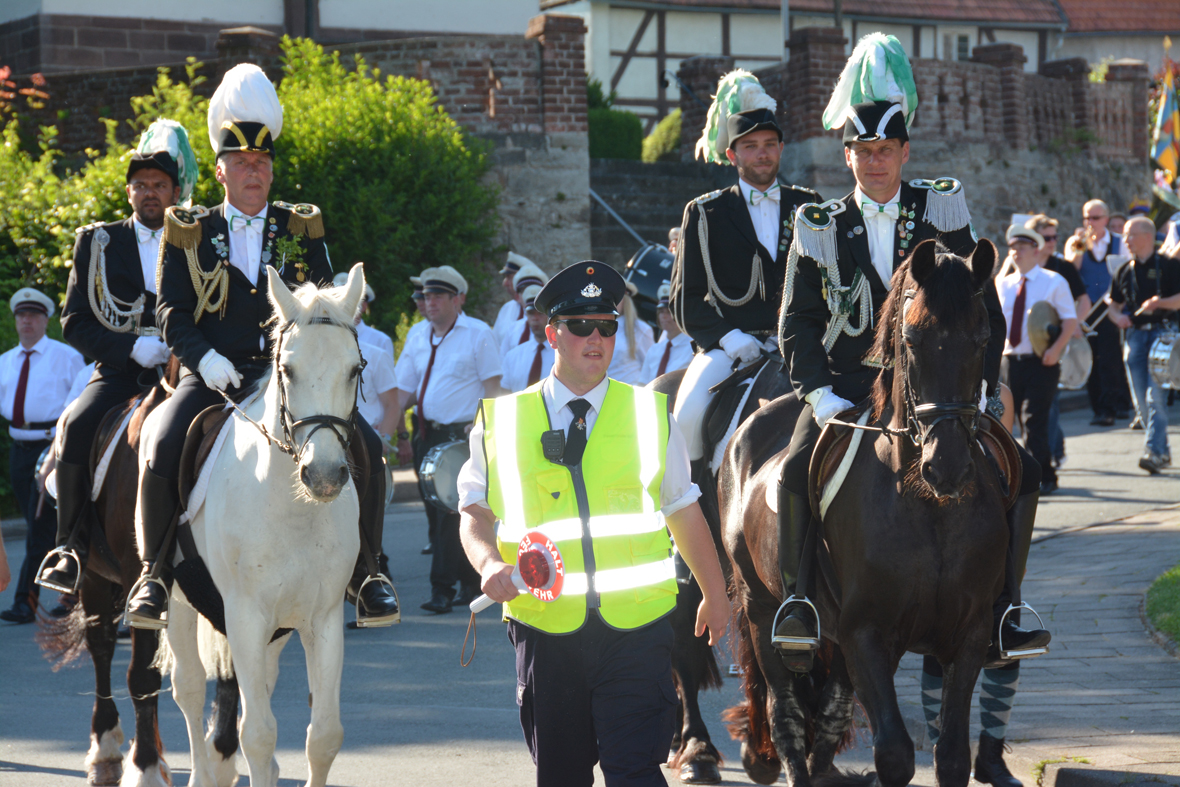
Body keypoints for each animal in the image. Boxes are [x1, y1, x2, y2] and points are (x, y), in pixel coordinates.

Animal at [149, 263, 368, 787]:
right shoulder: (245, 616)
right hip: (180, 601)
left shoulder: (322, 619)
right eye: (287, 369)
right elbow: (258, 733)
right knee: (189, 689)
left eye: (355, 369)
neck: (293, 511)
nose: (324, 475)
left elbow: (323, 735)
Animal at [720, 239, 1009, 787]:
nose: (947, 466)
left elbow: (951, 755)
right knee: (785, 714)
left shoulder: (969, 634)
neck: (928, 508)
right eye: (913, 338)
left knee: (829, 714)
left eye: (983, 337)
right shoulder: (866, 635)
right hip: (762, 609)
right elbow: (894, 753)